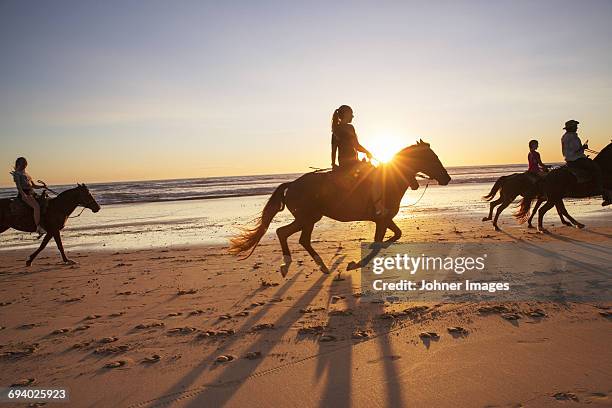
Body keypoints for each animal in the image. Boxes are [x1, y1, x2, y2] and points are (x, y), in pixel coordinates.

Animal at [230, 140, 450, 278]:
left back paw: (320, 267)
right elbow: (378, 244)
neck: (391, 178)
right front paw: (355, 264)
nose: (447, 178)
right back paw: (291, 264)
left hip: (309, 218)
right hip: (307, 218)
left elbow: (396, 235)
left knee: (294, 237)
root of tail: (291, 184)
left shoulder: (386, 219)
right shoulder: (381, 220)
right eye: (432, 158)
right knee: (285, 233)